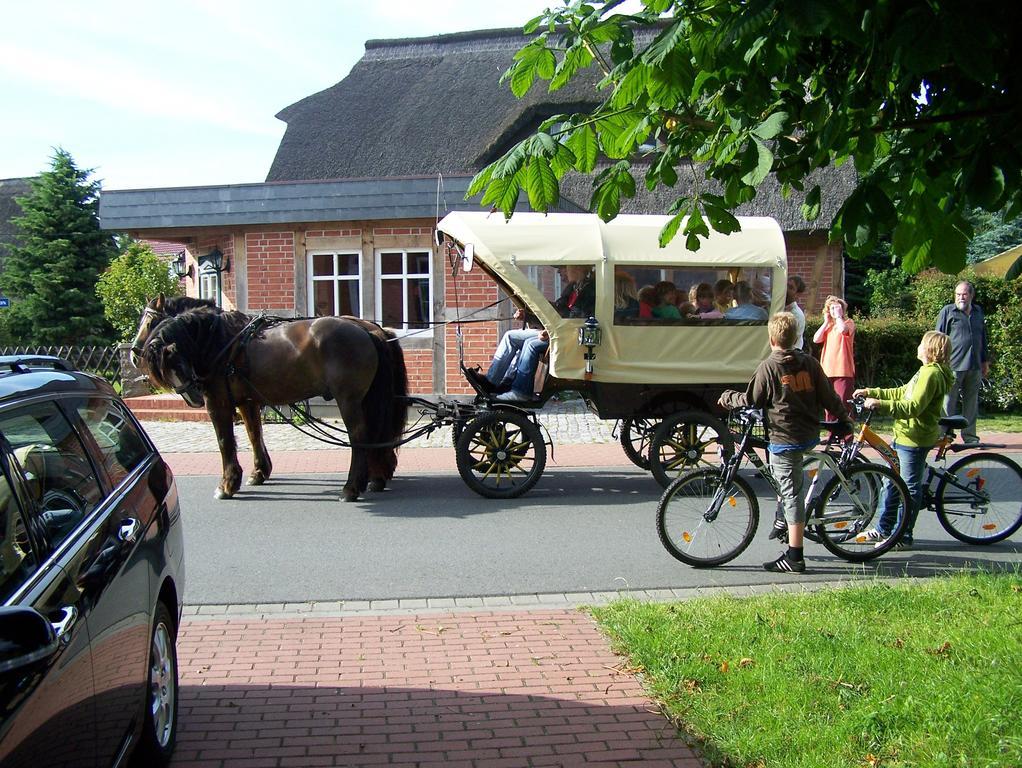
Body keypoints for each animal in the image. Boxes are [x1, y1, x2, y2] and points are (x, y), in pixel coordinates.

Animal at [141, 306, 410, 505]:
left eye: (175, 361)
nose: (194, 396)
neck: (222, 343)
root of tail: (366, 331)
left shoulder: (218, 401)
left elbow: (225, 441)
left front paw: (227, 484)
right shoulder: (248, 401)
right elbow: (254, 434)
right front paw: (259, 472)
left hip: (349, 400)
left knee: (359, 438)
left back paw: (351, 487)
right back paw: (373, 478)